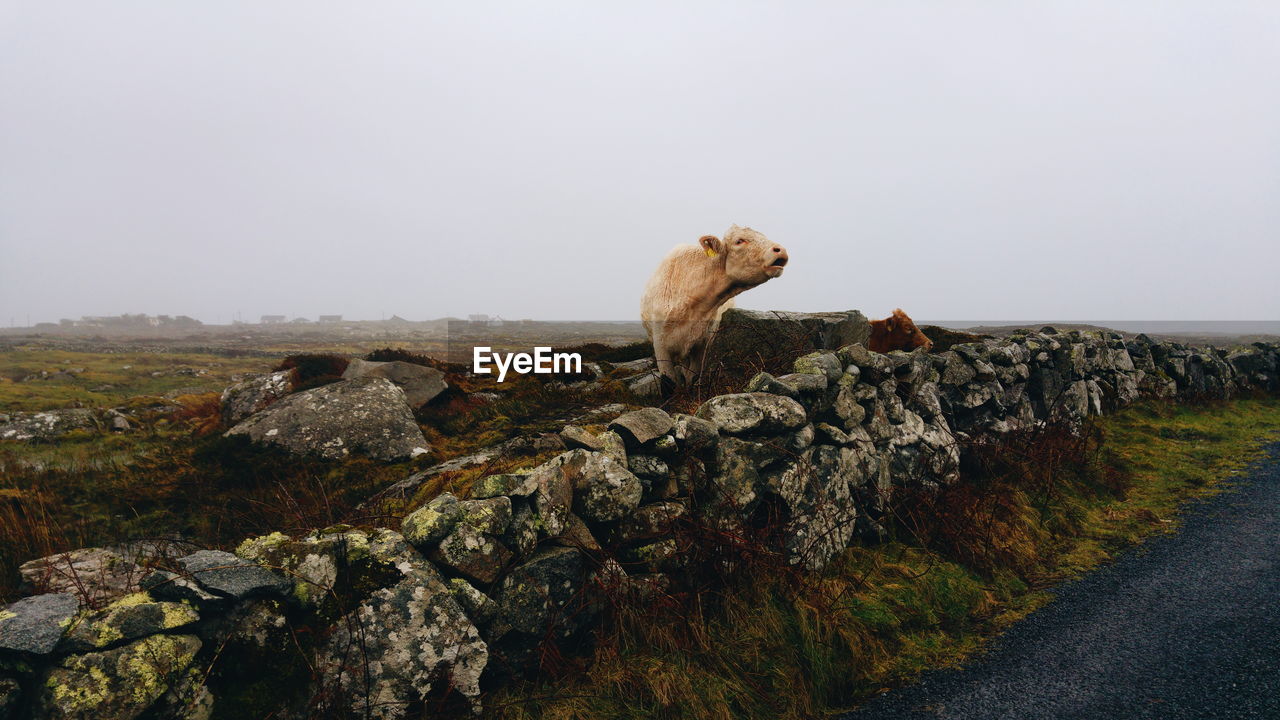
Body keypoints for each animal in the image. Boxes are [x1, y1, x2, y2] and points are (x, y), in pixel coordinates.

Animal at [637, 226, 783, 389]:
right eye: (739, 241)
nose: (780, 250)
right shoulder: (660, 345)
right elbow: (669, 383)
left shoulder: (702, 344)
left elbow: (693, 377)